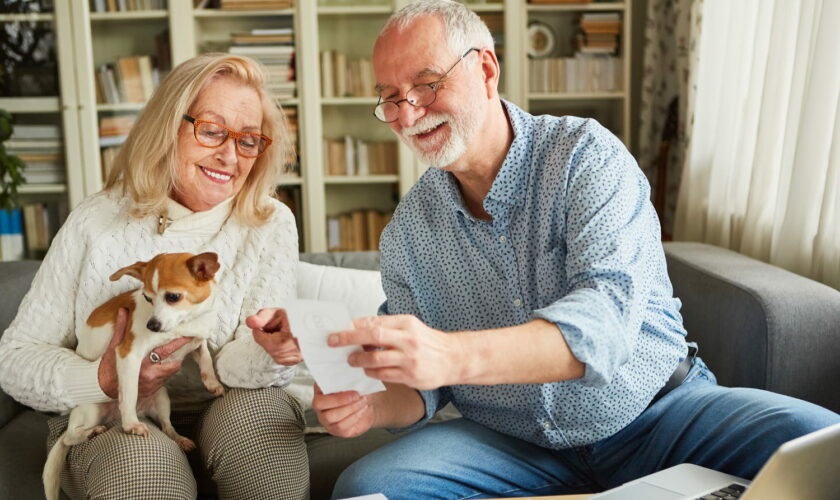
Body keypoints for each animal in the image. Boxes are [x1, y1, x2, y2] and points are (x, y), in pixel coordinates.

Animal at [42, 252, 226, 500]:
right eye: (147, 298)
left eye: (173, 297)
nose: (152, 325)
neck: (188, 322)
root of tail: (112, 418)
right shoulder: (128, 355)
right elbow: (129, 394)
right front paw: (131, 425)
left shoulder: (196, 341)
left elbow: (205, 358)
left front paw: (212, 383)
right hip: (91, 409)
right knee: (71, 436)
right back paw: (92, 432)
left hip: (162, 398)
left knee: (167, 426)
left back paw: (179, 438)